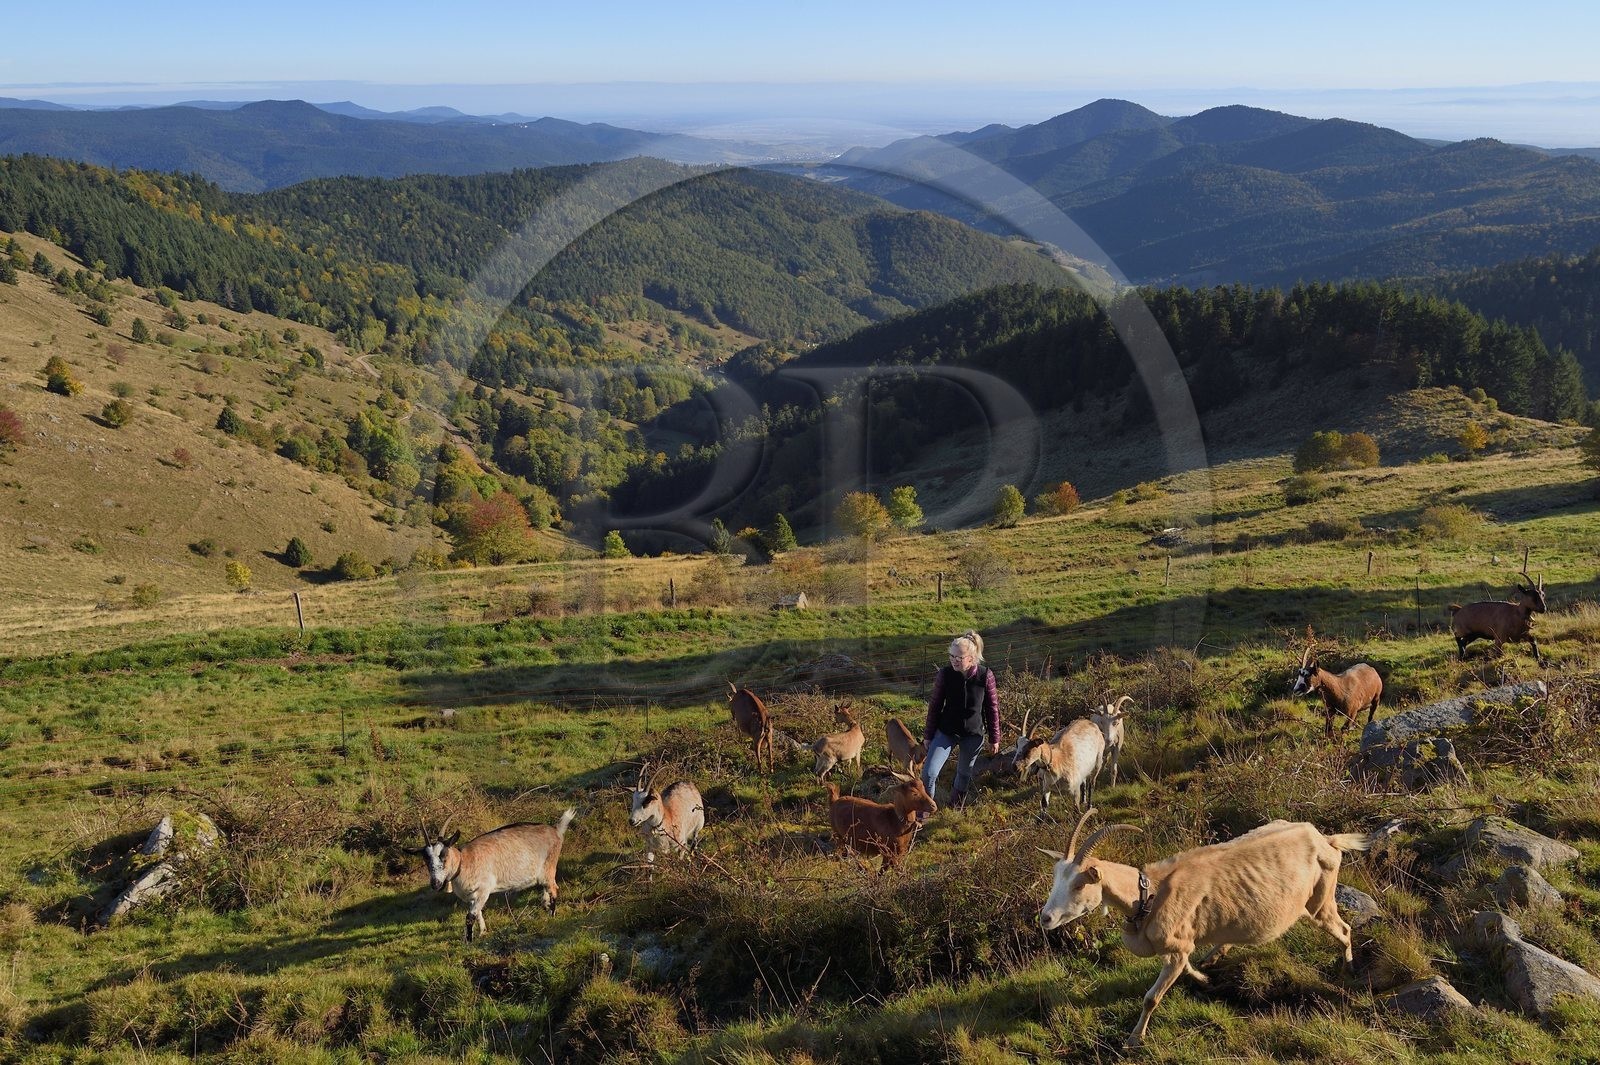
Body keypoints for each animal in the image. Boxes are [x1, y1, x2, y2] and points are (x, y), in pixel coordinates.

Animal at [413, 809, 576, 943]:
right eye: (426, 859)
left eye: (444, 855)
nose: (435, 883)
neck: (464, 861)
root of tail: (556, 830)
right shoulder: (472, 896)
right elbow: (477, 913)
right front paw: (482, 932)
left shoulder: (483, 890)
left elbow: (470, 917)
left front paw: (469, 941)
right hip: (542, 873)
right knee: (546, 888)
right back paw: (546, 906)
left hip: (549, 866)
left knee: (554, 888)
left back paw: (552, 914)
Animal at [1037, 809, 1372, 1048]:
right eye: (1056, 879)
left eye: (1079, 884)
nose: (1046, 918)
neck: (1150, 892)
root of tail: (1326, 840)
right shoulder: (1176, 945)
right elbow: (1185, 962)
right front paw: (1203, 977)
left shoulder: (1176, 944)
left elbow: (1151, 997)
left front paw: (1133, 1039)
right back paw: (1213, 956)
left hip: (1320, 899)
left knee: (1343, 930)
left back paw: (1349, 969)